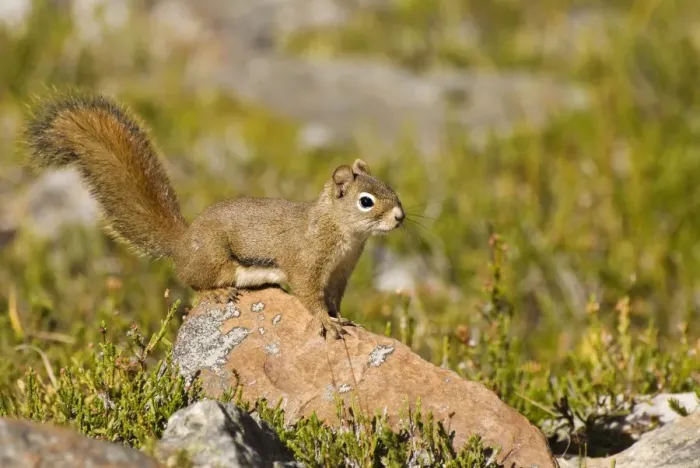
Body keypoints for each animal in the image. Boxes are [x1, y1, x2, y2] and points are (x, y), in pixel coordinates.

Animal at [23, 91, 405, 339]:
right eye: (366, 201)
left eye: (389, 186)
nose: (400, 217)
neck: (343, 234)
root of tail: (182, 242)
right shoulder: (307, 262)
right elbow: (309, 295)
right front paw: (325, 322)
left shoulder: (341, 272)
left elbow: (334, 299)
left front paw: (343, 318)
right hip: (215, 260)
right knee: (192, 283)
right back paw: (215, 295)